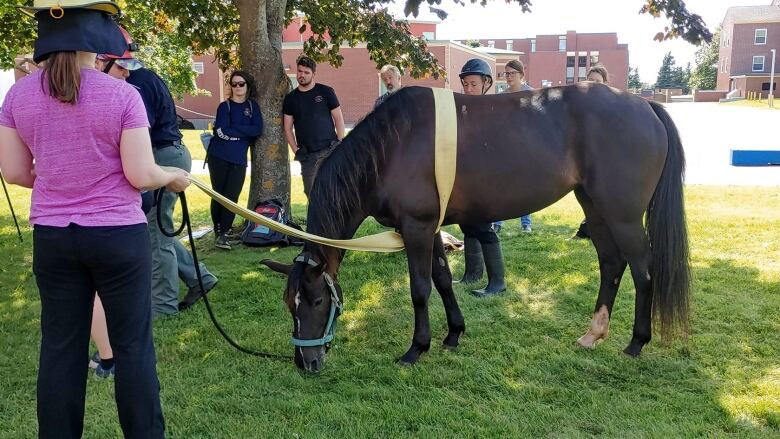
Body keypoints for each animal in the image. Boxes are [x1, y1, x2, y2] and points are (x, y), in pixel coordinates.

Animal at [264, 83, 688, 372]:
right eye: (288, 304)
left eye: (316, 301)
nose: (305, 362)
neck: (391, 147)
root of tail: (645, 105)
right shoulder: (429, 229)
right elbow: (442, 280)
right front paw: (453, 333)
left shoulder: (416, 229)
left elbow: (420, 290)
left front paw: (416, 349)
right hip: (595, 208)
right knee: (611, 264)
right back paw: (594, 334)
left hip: (623, 215)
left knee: (643, 270)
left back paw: (637, 342)